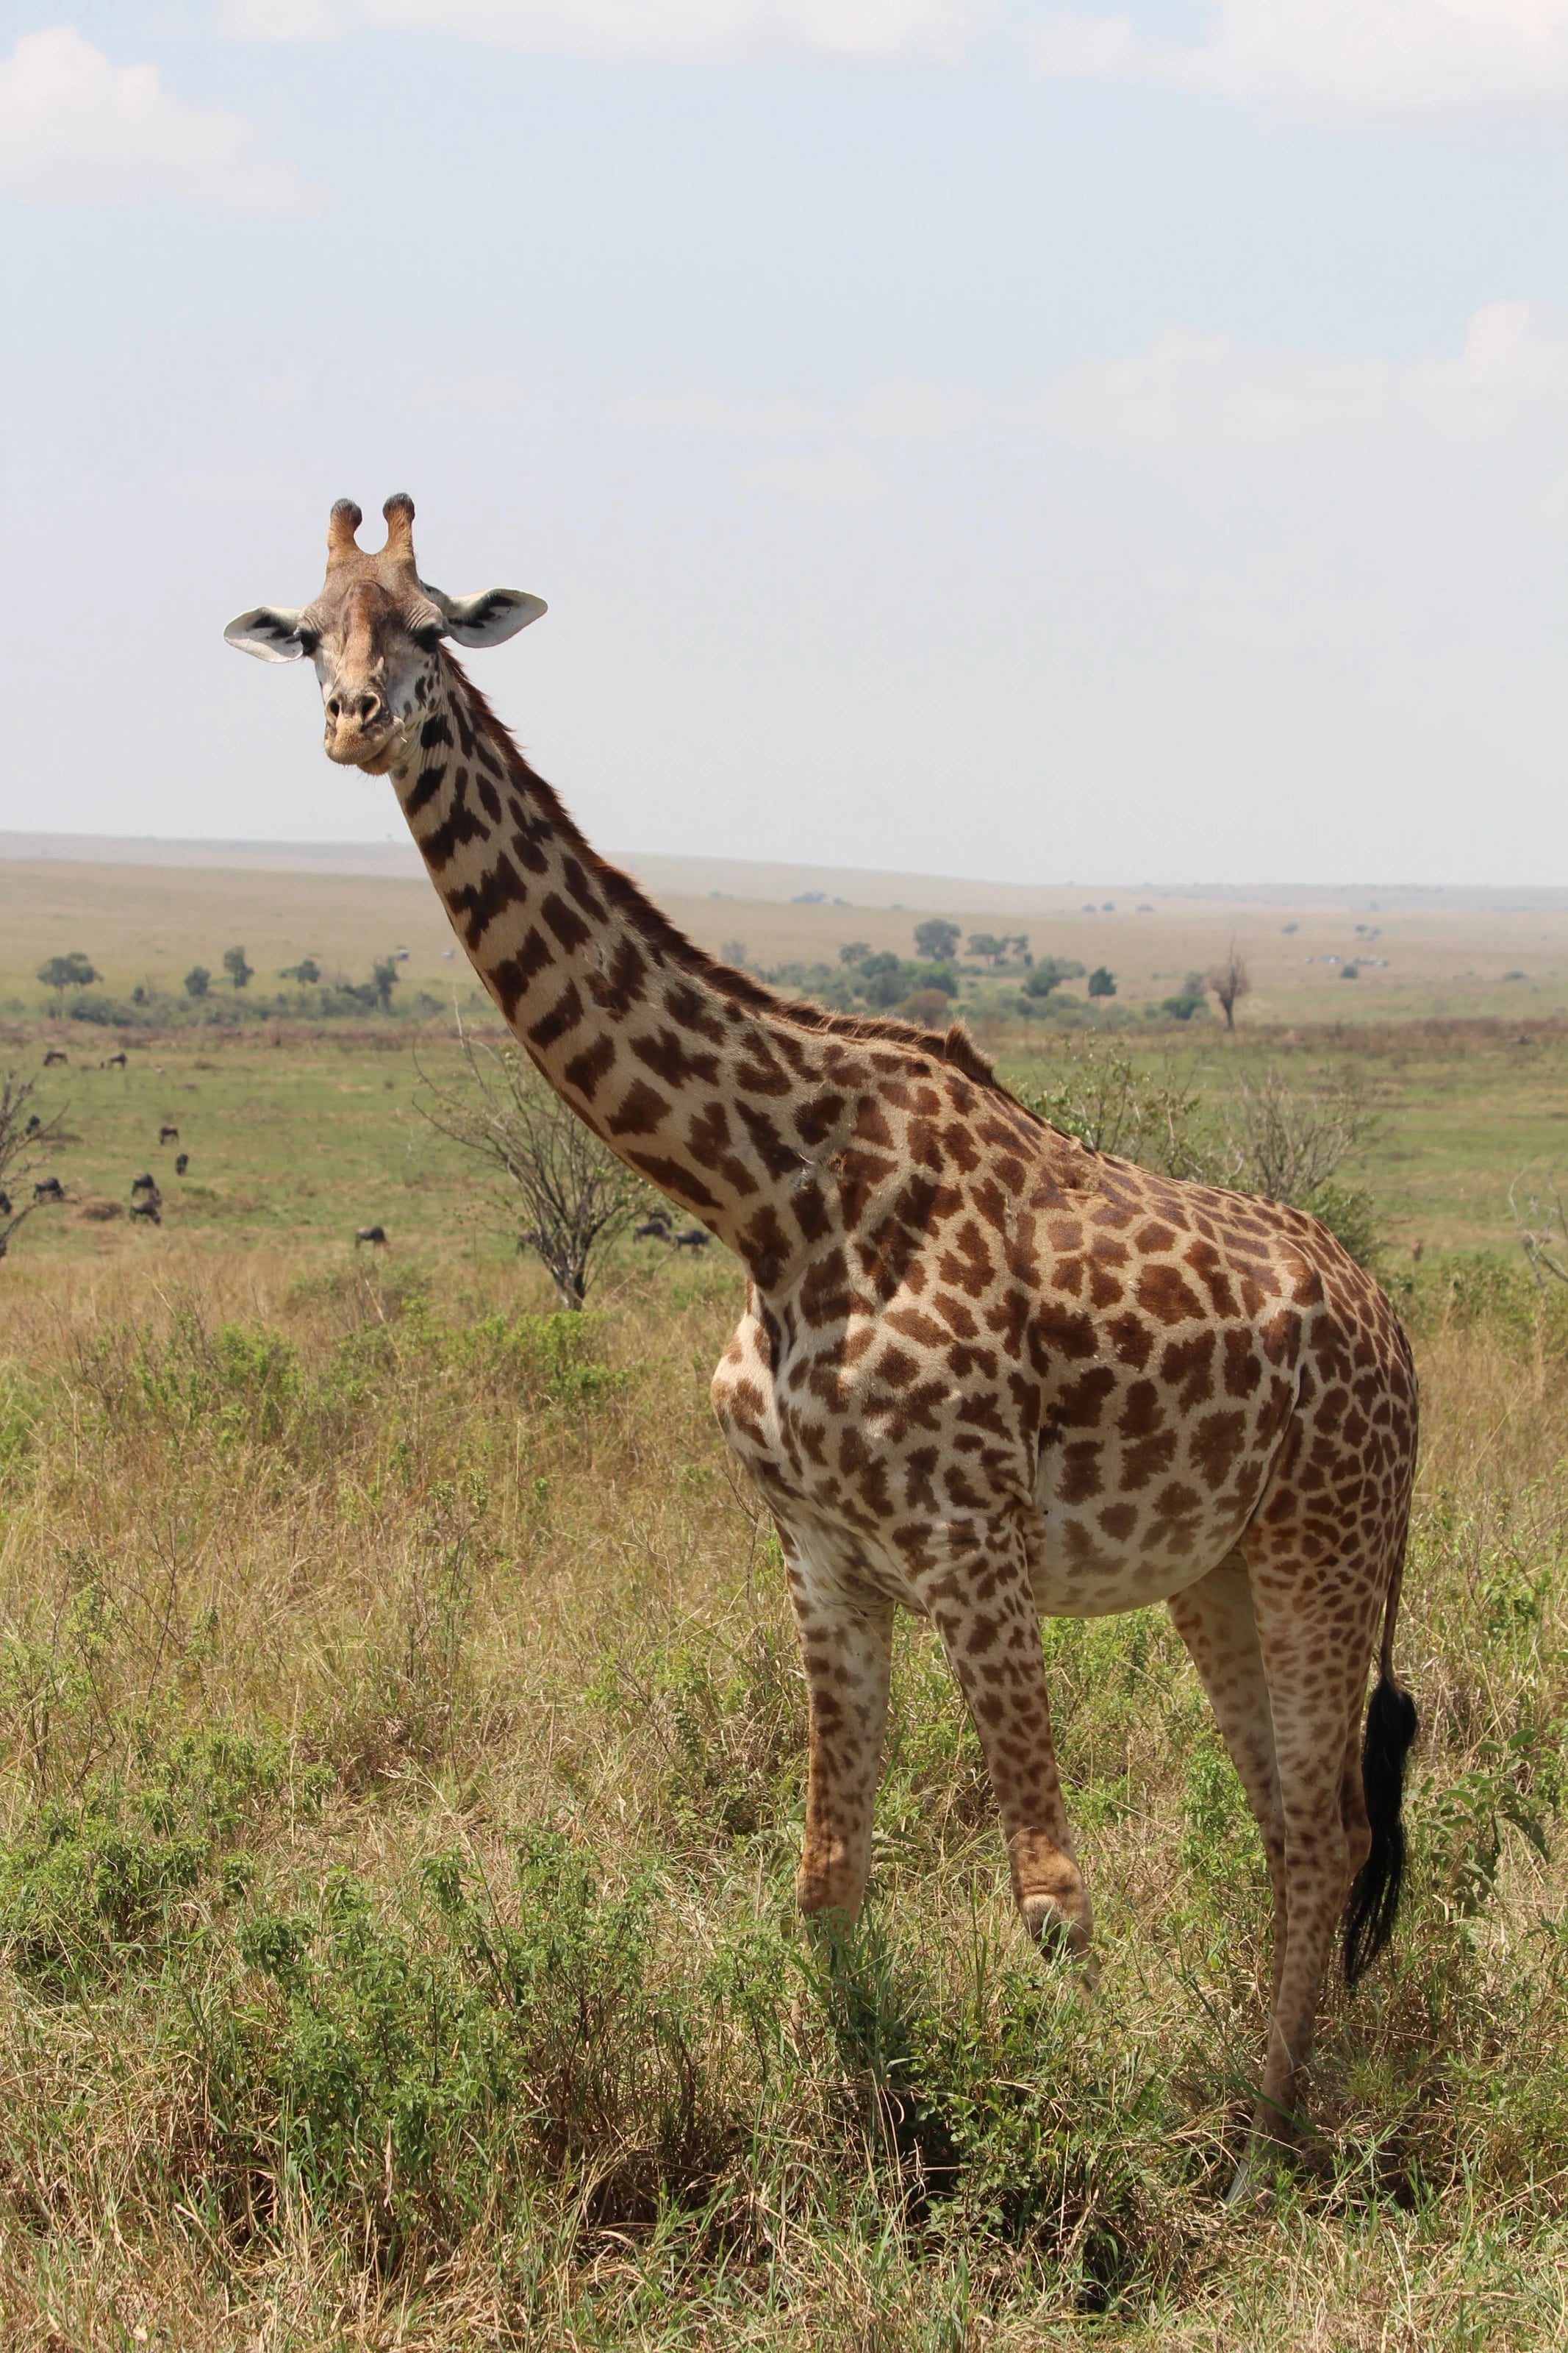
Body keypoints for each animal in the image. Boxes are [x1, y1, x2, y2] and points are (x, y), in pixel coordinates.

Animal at [227, 495, 1420, 2193]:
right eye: (311, 630)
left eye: (435, 627)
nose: (356, 719)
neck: (766, 1191)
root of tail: (1396, 1334)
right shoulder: (818, 1549)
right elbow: (826, 1884)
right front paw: (879, 2160)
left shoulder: (972, 1536)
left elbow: (1050, 1903)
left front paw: (1066, 2182)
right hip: (1221, 1571)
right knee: (1287, 1816)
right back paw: (1263, 2114)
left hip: (1331, 1542)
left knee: (1325, 1824)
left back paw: (1252, 2152)